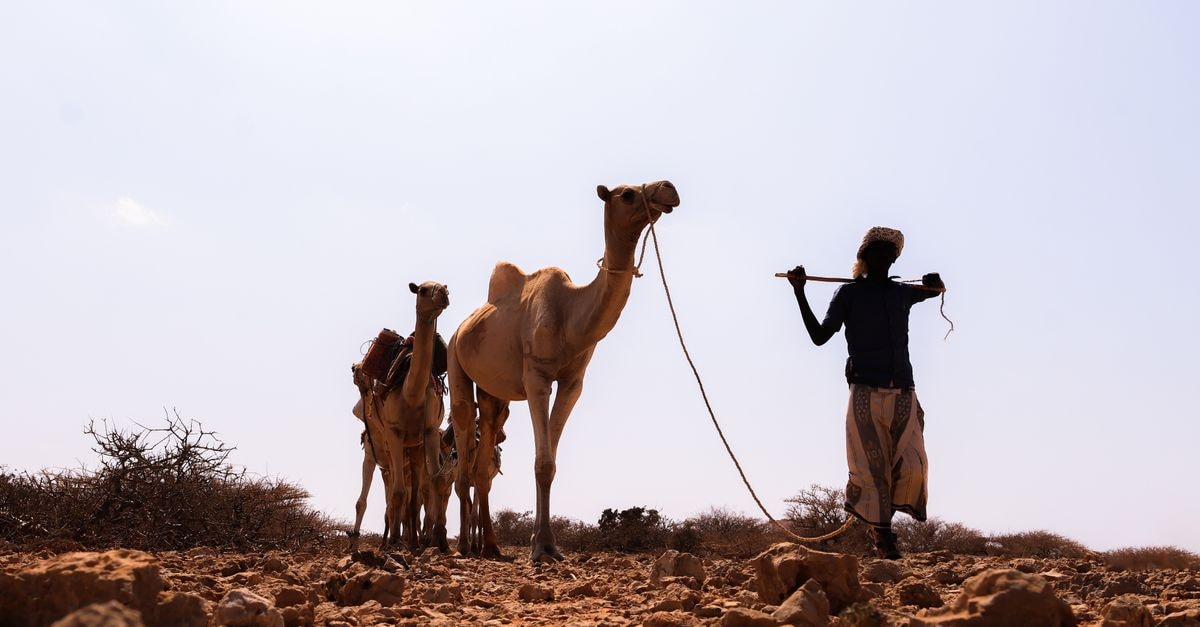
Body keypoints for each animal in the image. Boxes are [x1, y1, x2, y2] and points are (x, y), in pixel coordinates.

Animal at [447, 180, 680, 561]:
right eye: (628, 193)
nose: (668, 189)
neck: (572, 316)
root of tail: (462, 326)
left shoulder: (573, 383)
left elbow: (551, 463)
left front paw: (547, 545)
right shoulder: (537, 379)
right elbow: (542, 462)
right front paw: (540, 548)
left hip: (494, 392)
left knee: (483, 458)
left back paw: (491, 546)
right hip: (456, 359)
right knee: (463, 449)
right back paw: (464, 545)